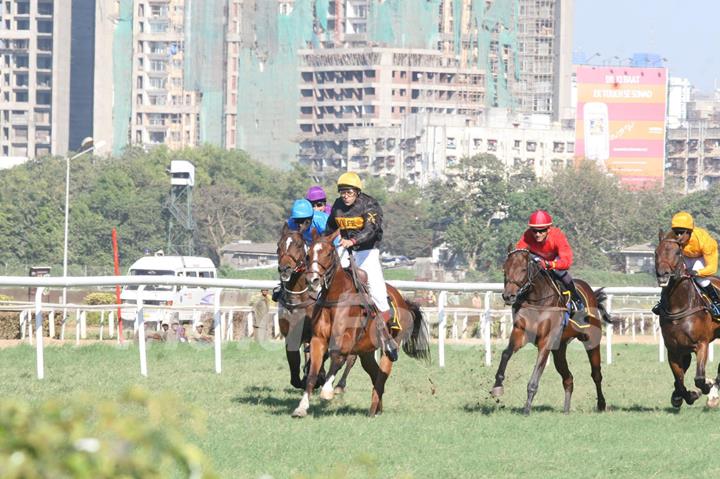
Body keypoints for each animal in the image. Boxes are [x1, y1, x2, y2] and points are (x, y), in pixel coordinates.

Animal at [276, 225, 358, 394]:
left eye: (298, 245)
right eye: (278, 246)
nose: (285, 269)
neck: (298, 297)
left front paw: (318, 377)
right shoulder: (291, 334)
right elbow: (294, 361)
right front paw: (305, 379)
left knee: (351, 357)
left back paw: (339, 385)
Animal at [292, 231, 430, 418]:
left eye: (328, 253)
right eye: (308, 255)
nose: (312, 280)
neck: (336, 299)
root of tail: (404, 301)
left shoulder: (347, 340)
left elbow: (337, 357)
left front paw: (328, 390)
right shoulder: (318, 339)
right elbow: (313, 371)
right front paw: (302, 407)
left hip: (390, 348)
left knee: (381, 376)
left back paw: (373, 410)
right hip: (367, 352)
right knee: (375, 373)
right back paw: (377, 408)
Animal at [496, 249, 612, 414]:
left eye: (523, 269)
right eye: (504, 269)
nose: (508, 296)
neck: (537, 300)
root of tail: (592, 293)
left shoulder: (546, 341)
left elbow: (536, 373)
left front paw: (527, 408)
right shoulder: (520, 332)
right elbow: (506, 353)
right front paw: (497, 386)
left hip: (591, 340)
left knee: (596, 374)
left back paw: (601, 404)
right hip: (559, 349)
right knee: (568, 378)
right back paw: (566, 410)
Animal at [652, 232, 720, 408]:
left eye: (677, 252)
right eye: (656, 252)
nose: (663, 275)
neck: (678, 306)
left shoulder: (701, 344)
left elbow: (699, 378)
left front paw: (707, 387)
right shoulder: (674, 349)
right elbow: (679, 379)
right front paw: (684, 396)